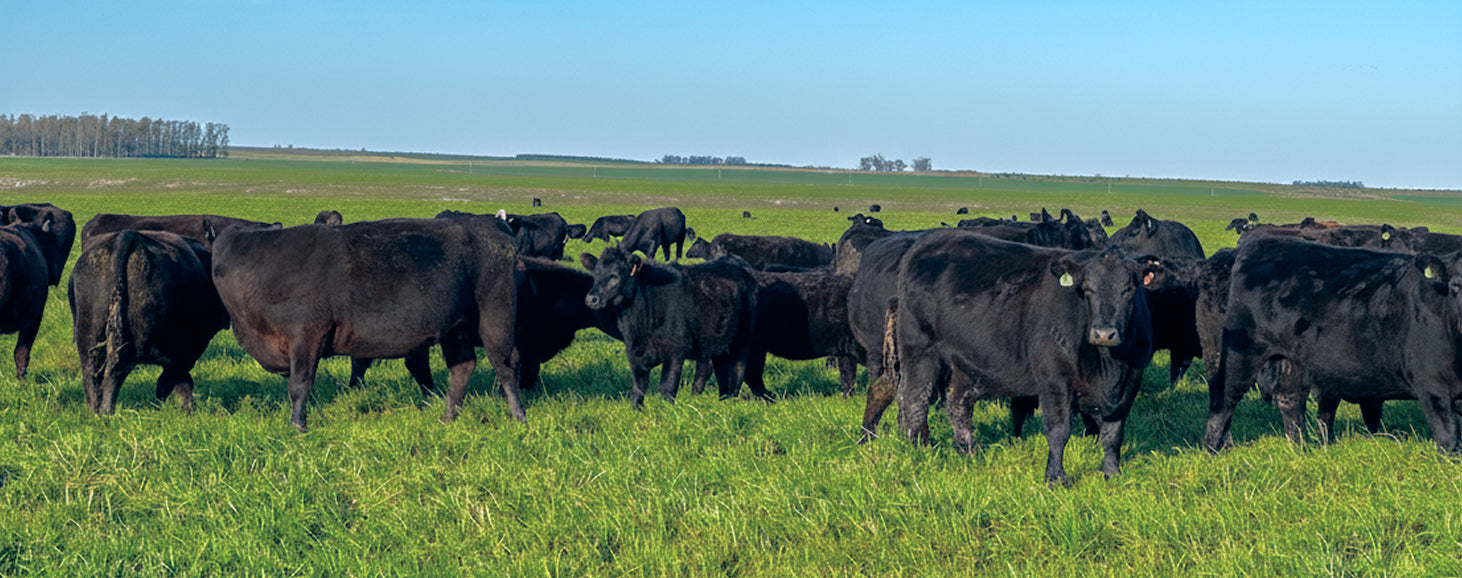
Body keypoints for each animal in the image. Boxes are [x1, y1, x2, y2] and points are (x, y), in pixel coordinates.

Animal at [69, 230, 231, 414]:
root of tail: (126, 236)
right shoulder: (185, 353)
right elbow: (178, 381)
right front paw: (187, 409)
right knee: (115, 372)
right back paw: (106, 411)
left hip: (89, 340)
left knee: (91, 375)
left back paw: (96, 411)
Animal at [211, 218, 523, 432]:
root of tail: (491, 224)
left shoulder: (306, 335)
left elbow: (300, 384)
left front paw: (298, 425)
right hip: (455, 329)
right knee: (462, 367)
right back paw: (448, 416)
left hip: (496, 317)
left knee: (505, 365)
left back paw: (519, 416)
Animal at [581, 247, 763, 405]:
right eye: (595, 274)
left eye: (615, 276)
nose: (591, 299)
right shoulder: (634, 353)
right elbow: (638, 389)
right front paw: (637, 409)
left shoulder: (675, 351)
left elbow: (667, 388)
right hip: (714, 342)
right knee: (713, 371)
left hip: (742, 338)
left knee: (737, 370)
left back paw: (730, 400)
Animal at [879, 230, 1157, 484]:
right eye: (1088, 289)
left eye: (1129, 290)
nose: (1103, 333)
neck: (1108, 367)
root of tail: (925, 242)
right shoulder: (1054, 378)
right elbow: (1059, 430)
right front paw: (1055, 478)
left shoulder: (1131, 380)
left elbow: (1113, 433)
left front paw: (1112, 473)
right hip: (919, 349)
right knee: (914, 398)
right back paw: (916, 448)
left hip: (966, 361)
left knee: (958, 405)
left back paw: (968, 453)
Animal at [1206, 236, 1462, 455]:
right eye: (1456, 286)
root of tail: (1257, 245)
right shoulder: (1431, 385)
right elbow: (1447, 436)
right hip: (1243, 350)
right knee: (1224, 397)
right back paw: (1212, 449)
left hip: (1292, 359)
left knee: (1291, 399)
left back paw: (1301, 448)